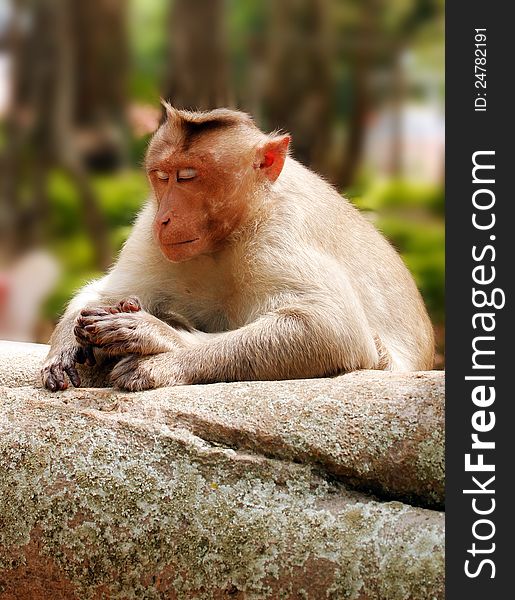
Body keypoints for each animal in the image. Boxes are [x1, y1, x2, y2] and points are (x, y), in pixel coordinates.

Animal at [41, 103, 436, 394]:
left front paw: (158, 342)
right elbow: (106, 293)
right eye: (161, 176)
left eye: (187, 177)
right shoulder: (147, 233)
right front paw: (65, 346)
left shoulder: (282, 233)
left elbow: (331, 327)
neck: (230, 233)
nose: (165, 218)